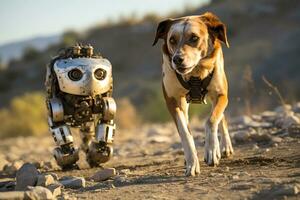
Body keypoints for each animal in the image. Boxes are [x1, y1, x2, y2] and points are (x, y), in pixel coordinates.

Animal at [152, 11, 234, 176]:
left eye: (194, 38)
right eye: (172, 40)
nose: (177, 59)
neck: (195, 73)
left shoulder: (221, 95)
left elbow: (211, 120)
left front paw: (212, 150)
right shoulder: (173, 101)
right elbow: (185, 132)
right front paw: (192, 162)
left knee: (221, 117)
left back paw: (225, 146)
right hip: (184, 103)